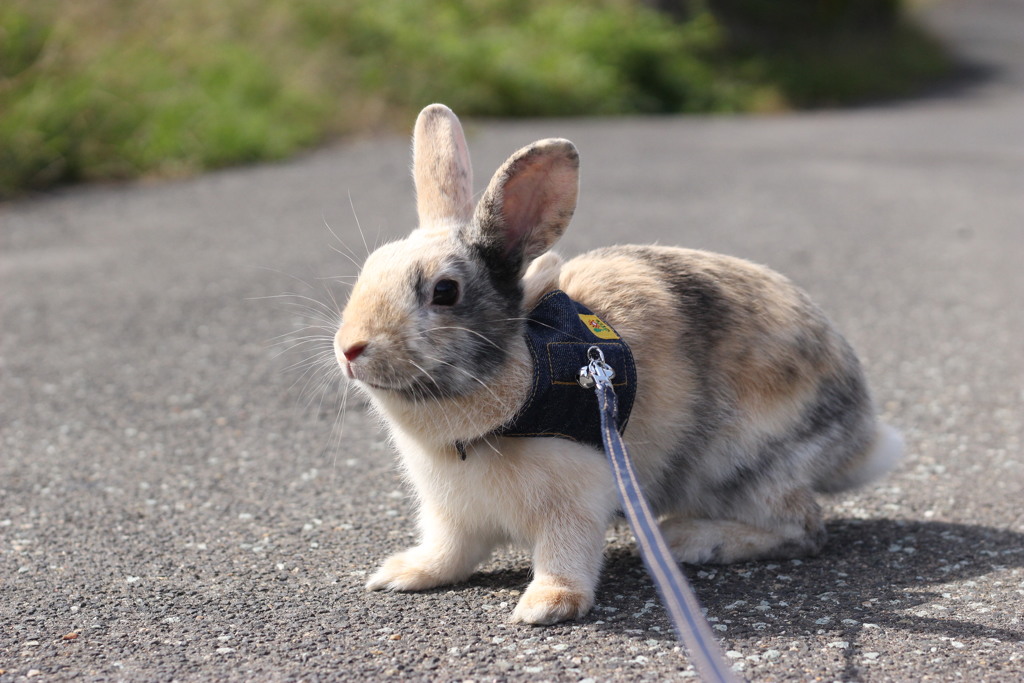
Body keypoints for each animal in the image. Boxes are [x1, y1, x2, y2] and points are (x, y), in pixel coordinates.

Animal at [331, 102, 901, 626]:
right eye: (370, 267)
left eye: (445, 292)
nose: (349, 348)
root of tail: (861, 433)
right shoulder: (449, 513)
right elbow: (449, 553)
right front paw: (401, 574)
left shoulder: (578, 494)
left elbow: (565, 555)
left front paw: (546, 606)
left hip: (744, 465)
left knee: (804, 529)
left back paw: (689, 538)